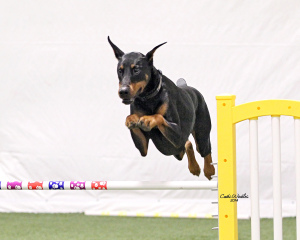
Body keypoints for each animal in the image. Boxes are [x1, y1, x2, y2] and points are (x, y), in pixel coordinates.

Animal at [109, 37, 214, 180]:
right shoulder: (143, 148)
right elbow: (136, 130)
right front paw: (131, 119)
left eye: (136, 70)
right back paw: (194, 168)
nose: (123, 91)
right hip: (177, 151)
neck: (148, 98)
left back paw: (209, 170)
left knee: (204, 149)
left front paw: (148, 119)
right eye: (120, 70)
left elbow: (158, 116)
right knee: (187, 144)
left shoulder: (179, 134)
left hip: (201, 133)